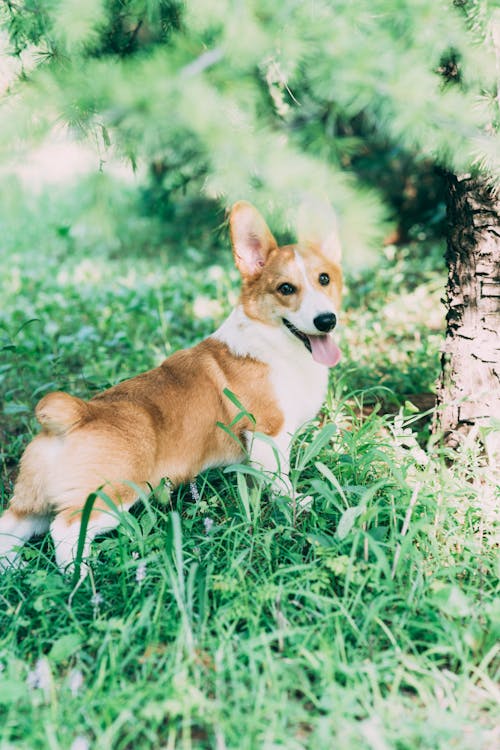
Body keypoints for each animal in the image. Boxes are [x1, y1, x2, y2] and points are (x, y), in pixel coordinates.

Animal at [0, 201, 342, 576]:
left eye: (324, 279)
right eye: (285, 288)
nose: (327, 321)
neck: (274, 342)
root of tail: (76, 414)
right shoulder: (268, 435)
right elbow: (281, 482)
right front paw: (296, 505)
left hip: (33, 502)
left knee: (10, 526)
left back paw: (13, 568)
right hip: (113, 496)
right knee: (66, 528)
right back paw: (83, 576)